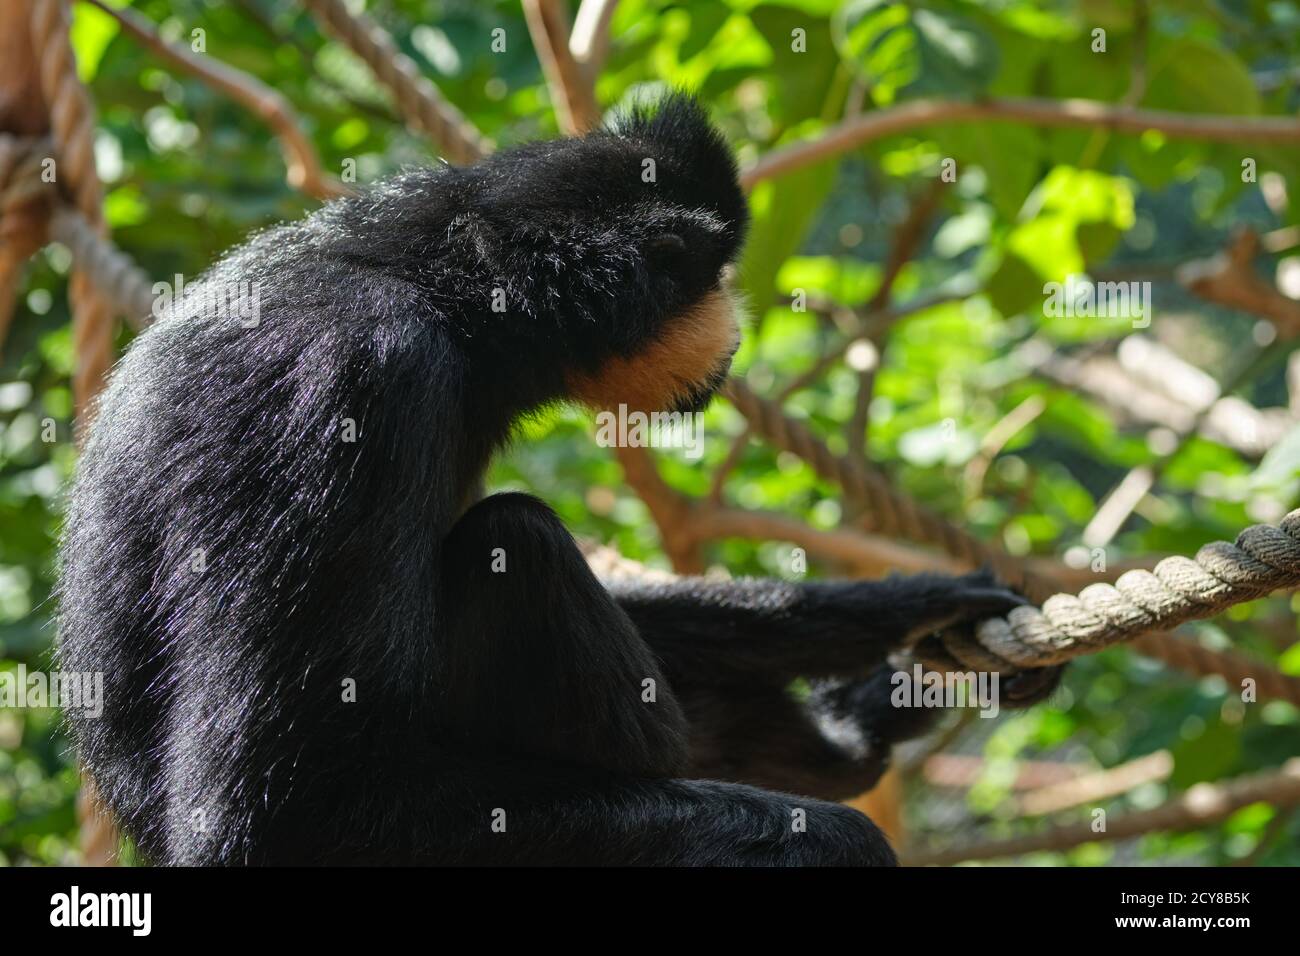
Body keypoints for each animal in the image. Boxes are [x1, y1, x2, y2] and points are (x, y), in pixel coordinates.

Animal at [58, 94, 1061, 866]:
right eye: (711, 276)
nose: (736, 321)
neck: (435, 286)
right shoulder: (354, 376)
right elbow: (276, 822)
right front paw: (825, 833)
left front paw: (912, 606)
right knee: (517, 537)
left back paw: (836, 744)